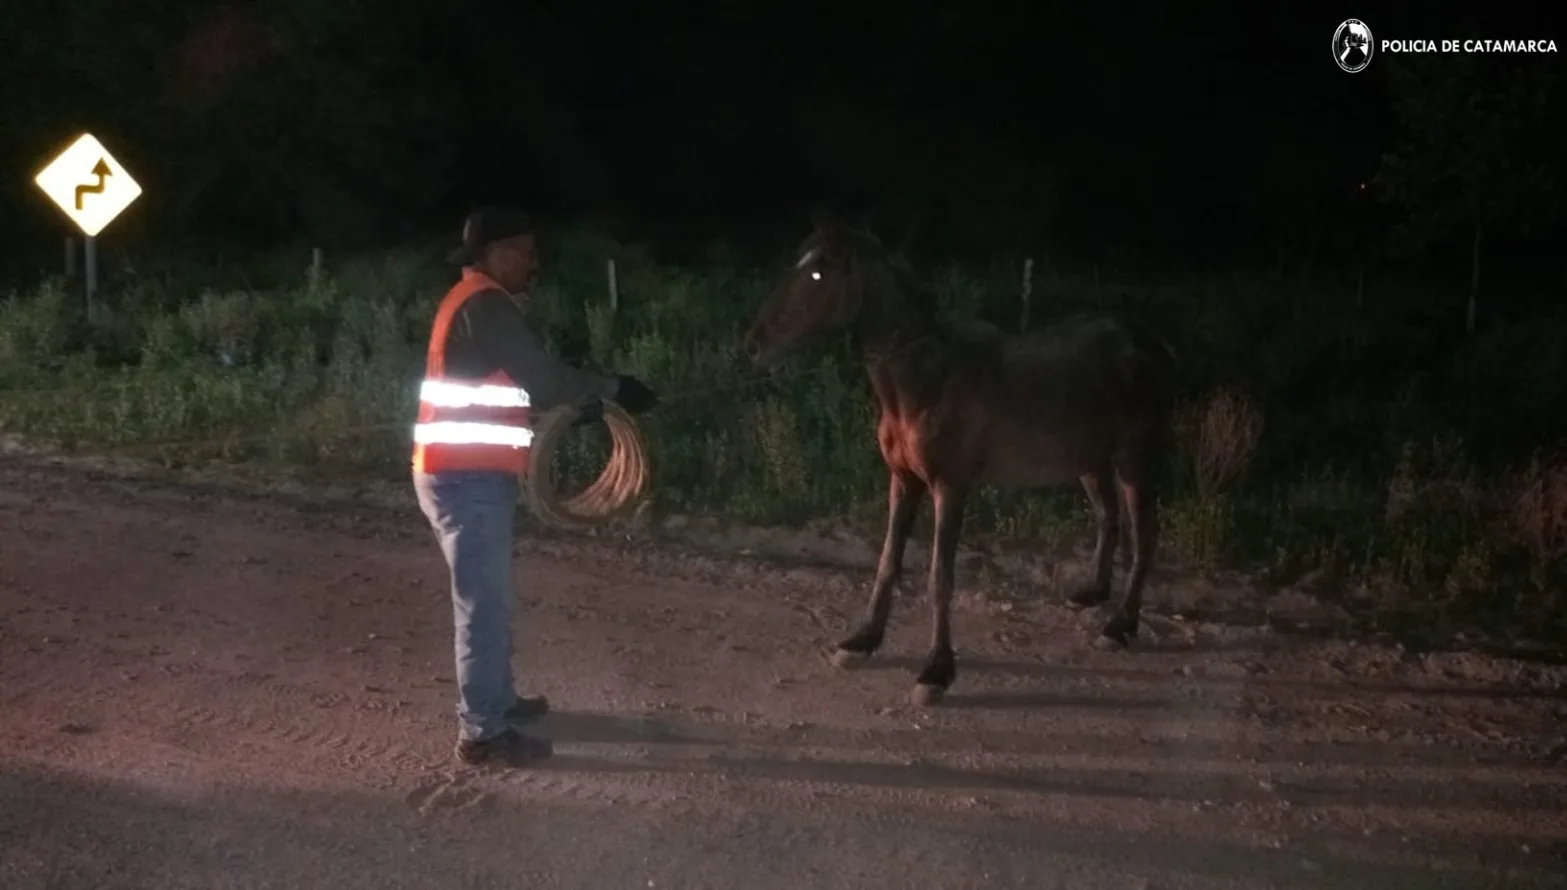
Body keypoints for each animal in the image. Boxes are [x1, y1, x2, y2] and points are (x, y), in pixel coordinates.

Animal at [742, 211, 1178, 705]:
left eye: (818, 272)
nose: (754, 345)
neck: (925, 381)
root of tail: (1152, 343)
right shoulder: (903, 480)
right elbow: (888, 560)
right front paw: (863, 641)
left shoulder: (950, 487)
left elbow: (939, 576)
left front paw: (936, 671)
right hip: (1091, 461)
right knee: (1109, 517)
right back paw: (1093, 594)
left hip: (1134, 461)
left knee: (1145, 536)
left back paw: (1121, 626)